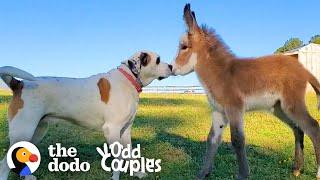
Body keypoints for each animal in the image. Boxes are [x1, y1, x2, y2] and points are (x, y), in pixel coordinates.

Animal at [0, 51, 172, 179]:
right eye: (158, 60)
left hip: (37, 131)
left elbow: (130, 155)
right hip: (23, 132)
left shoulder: (125, 131)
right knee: (4, 165)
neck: (128, 79)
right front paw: (116, 177)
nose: (171, 66)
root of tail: (20, 84)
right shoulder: (112, 129)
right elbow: (118, 159)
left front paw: (137, 173)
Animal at [172, 3, 320, 179]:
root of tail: (303, 69)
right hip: (278, 108)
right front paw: (203, 174)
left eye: (184, 47)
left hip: (292, 104)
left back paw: (317, 172)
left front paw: (243, 175)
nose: (171, 68)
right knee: (298, 129)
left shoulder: (234, 108)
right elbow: (212, 139)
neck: (222, 74)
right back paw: (297, 169)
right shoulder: (218, 111)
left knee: (313, 127)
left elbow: (237, 140)